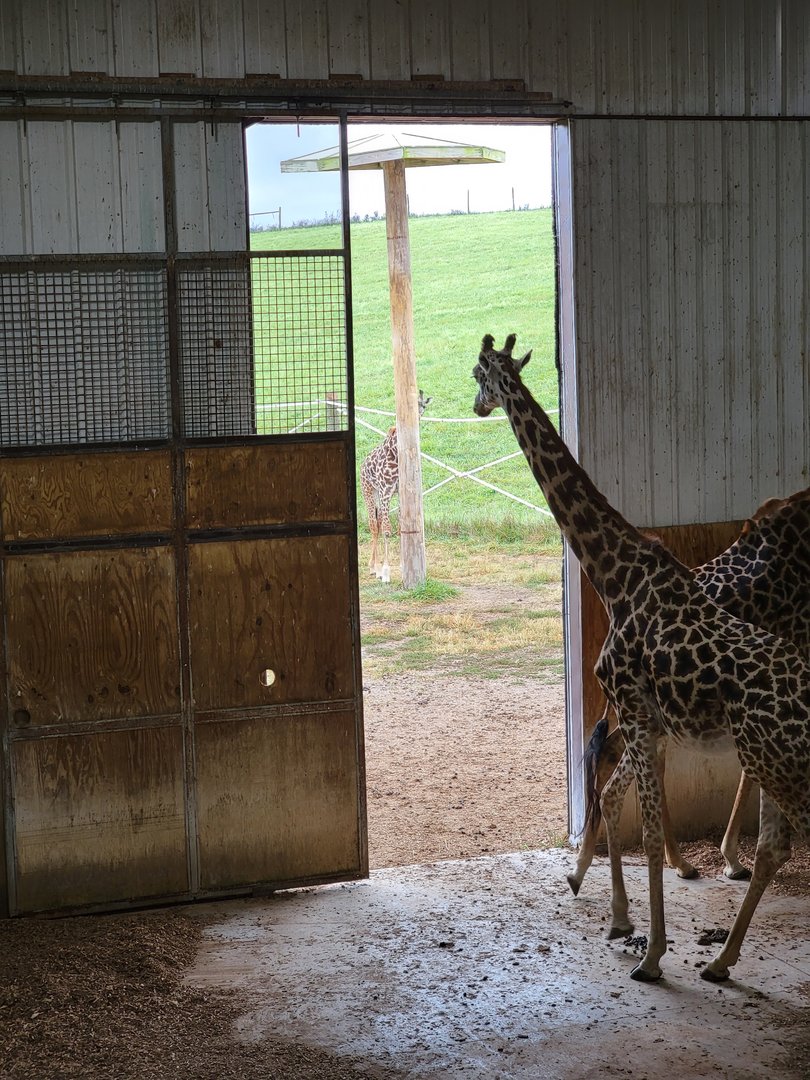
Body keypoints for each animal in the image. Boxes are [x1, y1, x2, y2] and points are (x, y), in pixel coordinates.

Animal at [360, 389, 431, 583]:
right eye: (412, 405)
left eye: (424, 405)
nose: (417, 417)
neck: (394, 453)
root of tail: (362, 464)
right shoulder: (386, 491)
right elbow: (387, 529)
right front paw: (385, 572)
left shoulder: (399, 492)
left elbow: (400, 527)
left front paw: (402, 566)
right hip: (369, 490)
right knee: (373, 524)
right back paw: (375, 568)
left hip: (379, 494)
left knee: (377, 522)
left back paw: (373, 566)